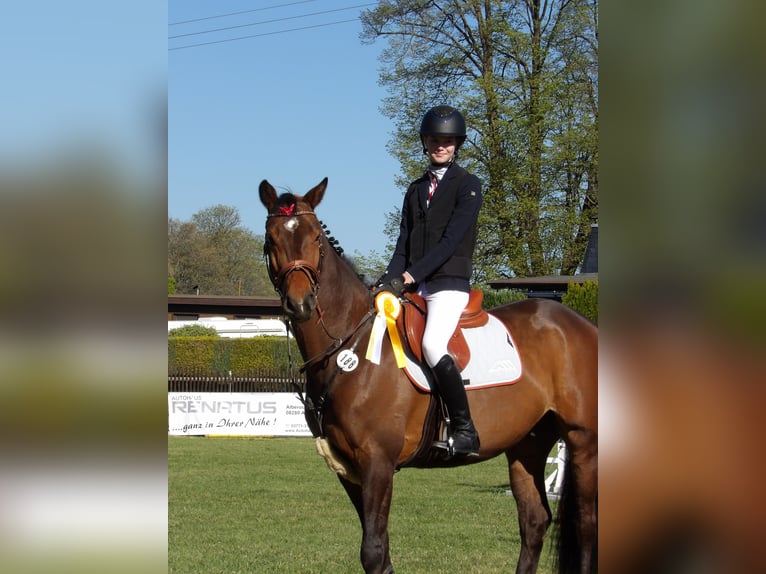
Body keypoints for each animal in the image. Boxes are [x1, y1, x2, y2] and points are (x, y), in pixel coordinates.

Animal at [259, 177, 598, 574]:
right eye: (271, 239)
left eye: (315, 239)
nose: (300, 305)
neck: (348, 344)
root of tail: (581, 324)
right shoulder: (348, 468)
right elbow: (381, 555)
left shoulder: (377, 462)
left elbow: (372, 550)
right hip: (527, 443)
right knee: (535, 520)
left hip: (583, 441)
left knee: (586, 524)